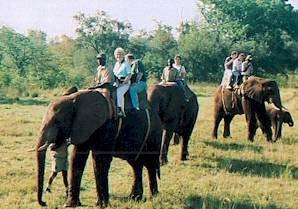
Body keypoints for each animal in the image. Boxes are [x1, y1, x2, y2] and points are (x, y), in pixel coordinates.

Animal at [35, 88, 163, 207]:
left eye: (57, 121)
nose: (44, 203)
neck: (75, 98)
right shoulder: (83, 127)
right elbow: (77, 158)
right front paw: (70, 205)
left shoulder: (108, 126)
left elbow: (100, 159)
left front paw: (102, 205)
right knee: (136, 165)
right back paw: (135, 198)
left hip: (154, 134)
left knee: (150, 164)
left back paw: (154, 197)